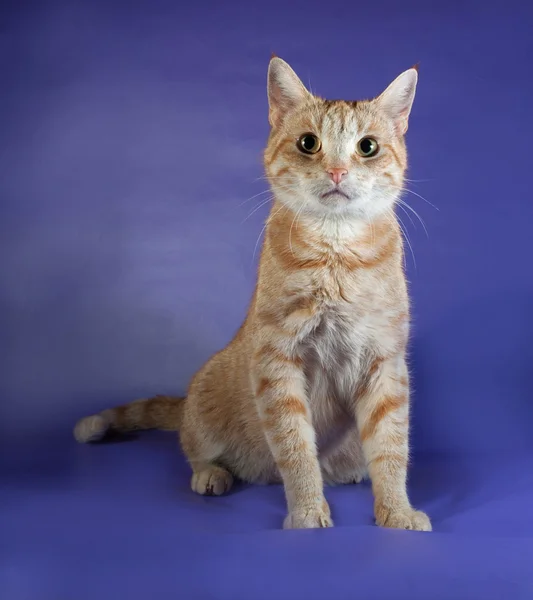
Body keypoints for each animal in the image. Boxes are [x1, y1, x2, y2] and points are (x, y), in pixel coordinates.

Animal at [75, 58, 430, 532]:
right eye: (309, 143)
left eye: (367, 147)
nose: (337, 171)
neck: (336, 255)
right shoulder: (278, 361)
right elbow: (295, 448)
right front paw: (307, 511)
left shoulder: (385, 364)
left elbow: (391, 449)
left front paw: (396, 510)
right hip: (205, 401)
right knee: (194, 448)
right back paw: (212, 474)